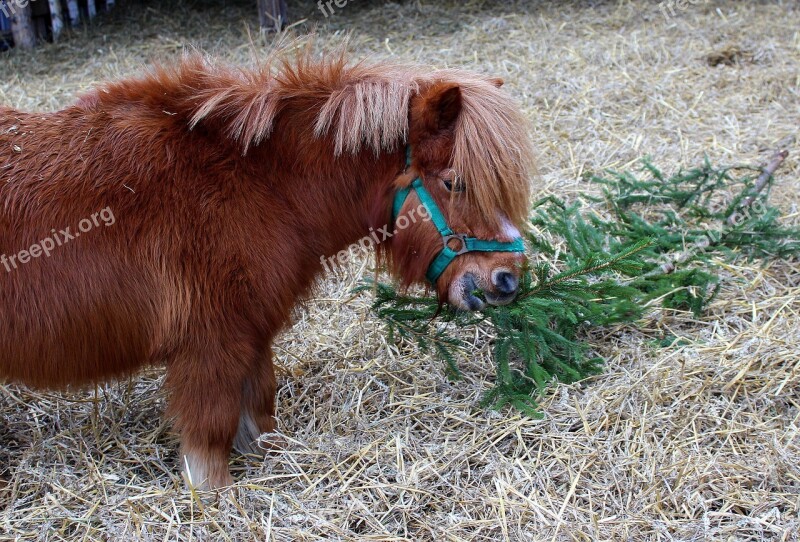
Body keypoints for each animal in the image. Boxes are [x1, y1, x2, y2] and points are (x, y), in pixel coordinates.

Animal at [1, 53, 536, 490]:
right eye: (455, 182)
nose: (509, 279)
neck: (260, 185)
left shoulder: (250, 332)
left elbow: (259, 409)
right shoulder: (209, 345)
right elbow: (212, 435)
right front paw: (214, 500)